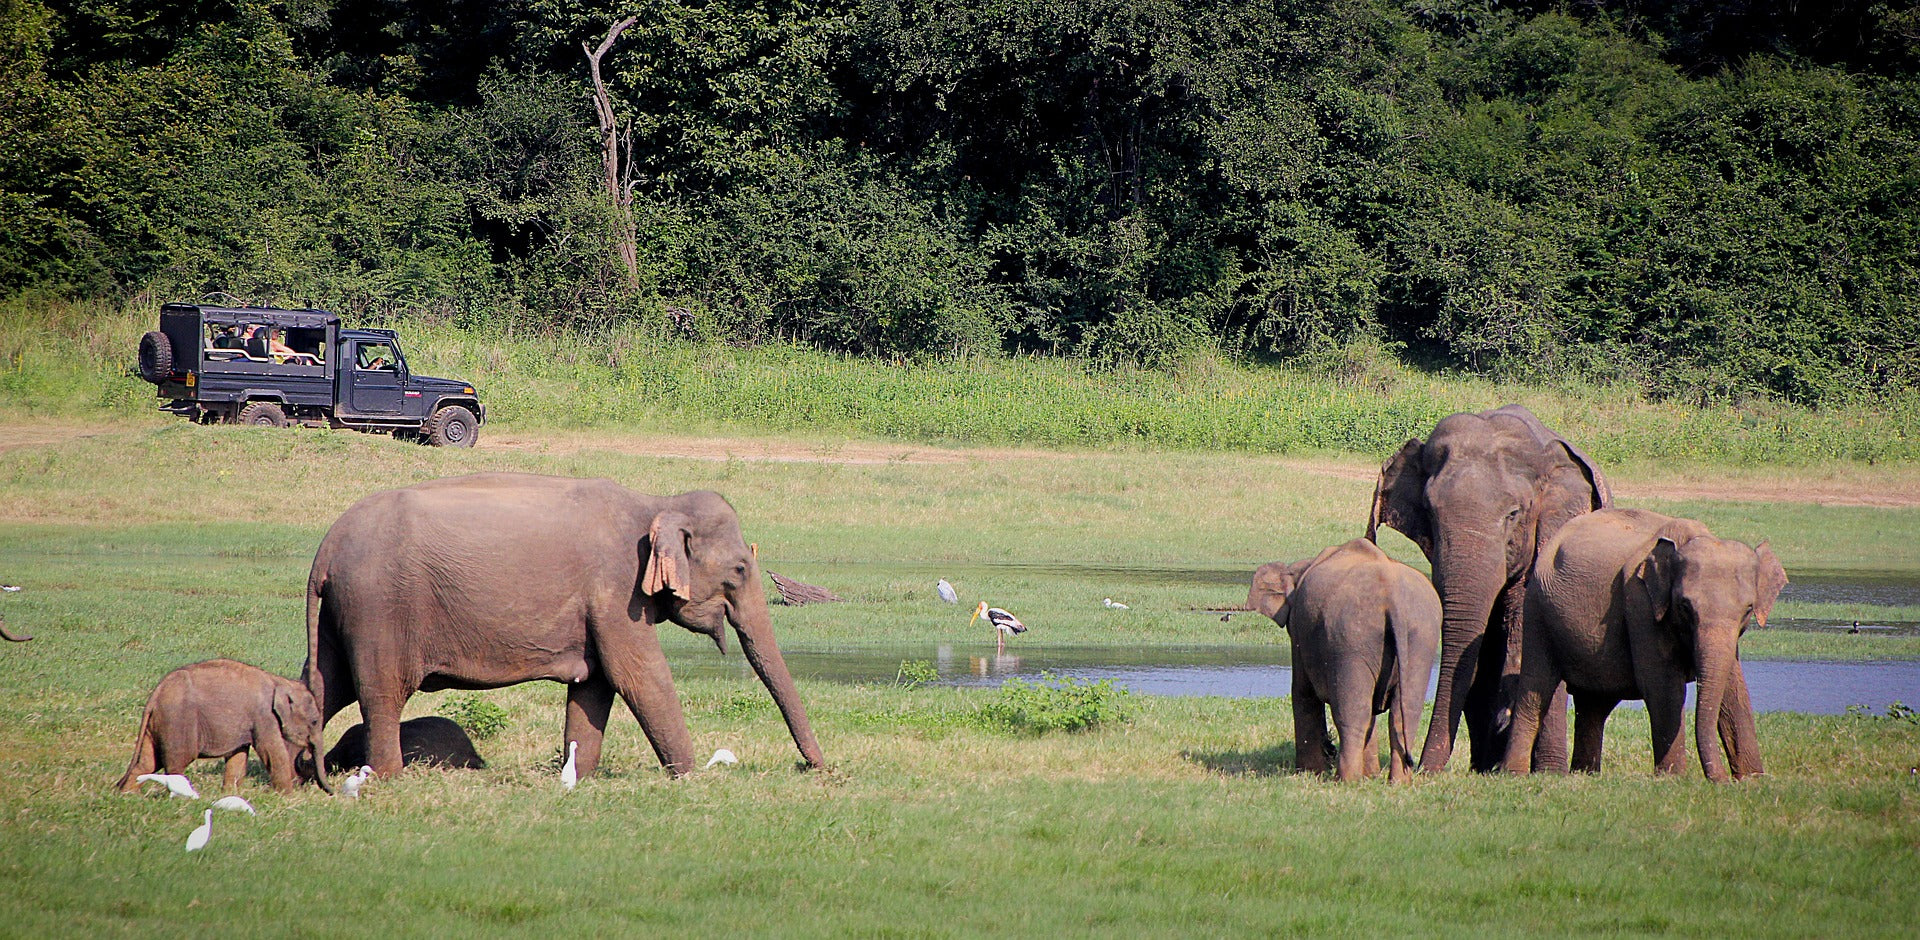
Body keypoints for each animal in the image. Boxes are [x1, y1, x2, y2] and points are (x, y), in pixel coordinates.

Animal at [116, 659, 332, 794]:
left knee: (146, 763)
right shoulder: (264, 717)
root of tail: (157, 693)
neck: (280, 681)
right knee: (176, 763)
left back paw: (129, 796)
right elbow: (273, 752)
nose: (331, 792)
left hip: (158, 724)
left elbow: (238, 756)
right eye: (314, 721)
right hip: (178, 722)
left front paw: (230, 794)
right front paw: (287, 796)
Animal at [1247, 539, 1440, 782]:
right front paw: (1370, 775)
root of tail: (1392, 595)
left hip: (1351, 638)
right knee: (1404, 711)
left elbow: (1302, 692)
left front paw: (1309, 773)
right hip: (1421, 637)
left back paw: (1346, 780)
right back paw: (1398, 783)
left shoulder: (1299, 631)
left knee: (1353, 712)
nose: (1329, 749)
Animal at [1369, 404, 1611, 773]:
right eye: (1430, 512)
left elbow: (1523, 624)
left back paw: (1545, 769)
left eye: (1513, 514)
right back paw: (1487, 765)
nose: (1418, 766)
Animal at [1503, 509, 1784, 782]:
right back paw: (1515, 774)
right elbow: (1662, 686)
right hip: (1537, 610)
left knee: (1594, 704)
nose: (1722, 780)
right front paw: (1672, 778)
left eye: (1748, 609)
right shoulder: (1641, 603)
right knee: (1535, 690)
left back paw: (1585, 774)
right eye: (1684, 606)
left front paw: (1753, 779)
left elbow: (1734, 689)